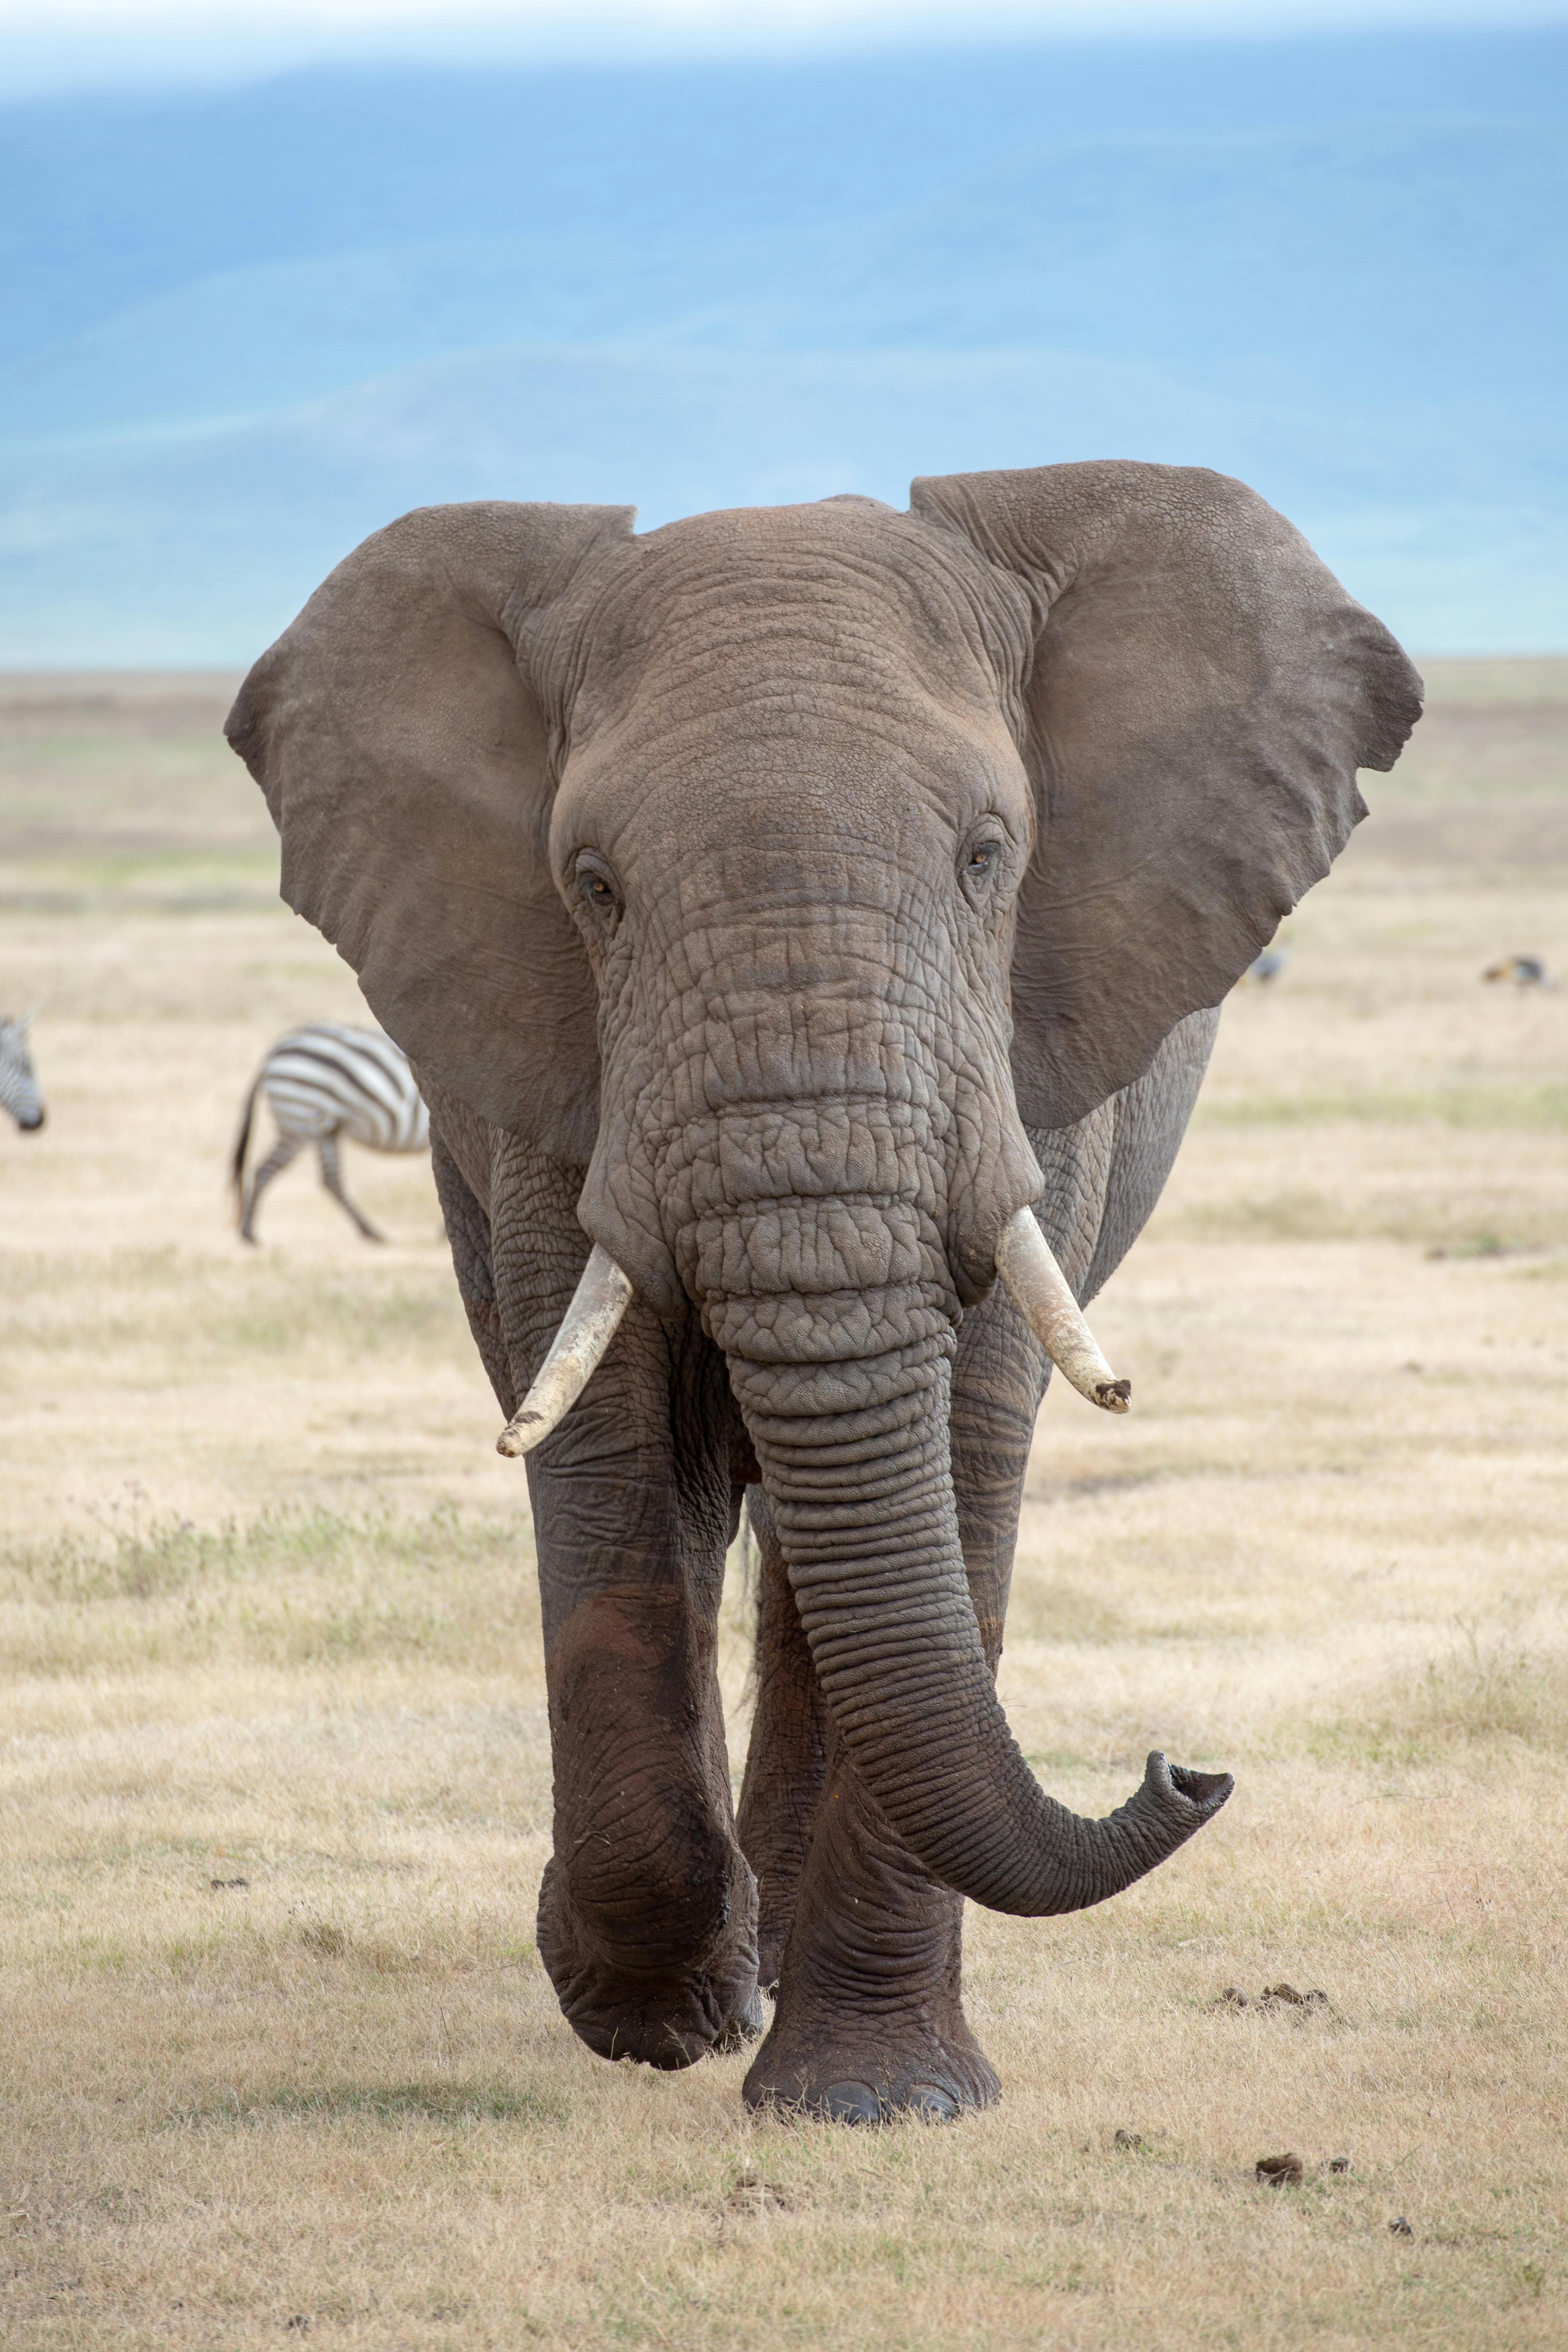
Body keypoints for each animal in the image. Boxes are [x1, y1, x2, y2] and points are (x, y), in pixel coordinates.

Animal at [227, 463, 1420, 2122]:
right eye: (591, 888)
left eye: (989, 855)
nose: (1185, 1770)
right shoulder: (550, 1067)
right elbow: (604, 1449)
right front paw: (660, 2010)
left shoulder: (1025, 1055)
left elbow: (962, 1440)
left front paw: (874, 2103)